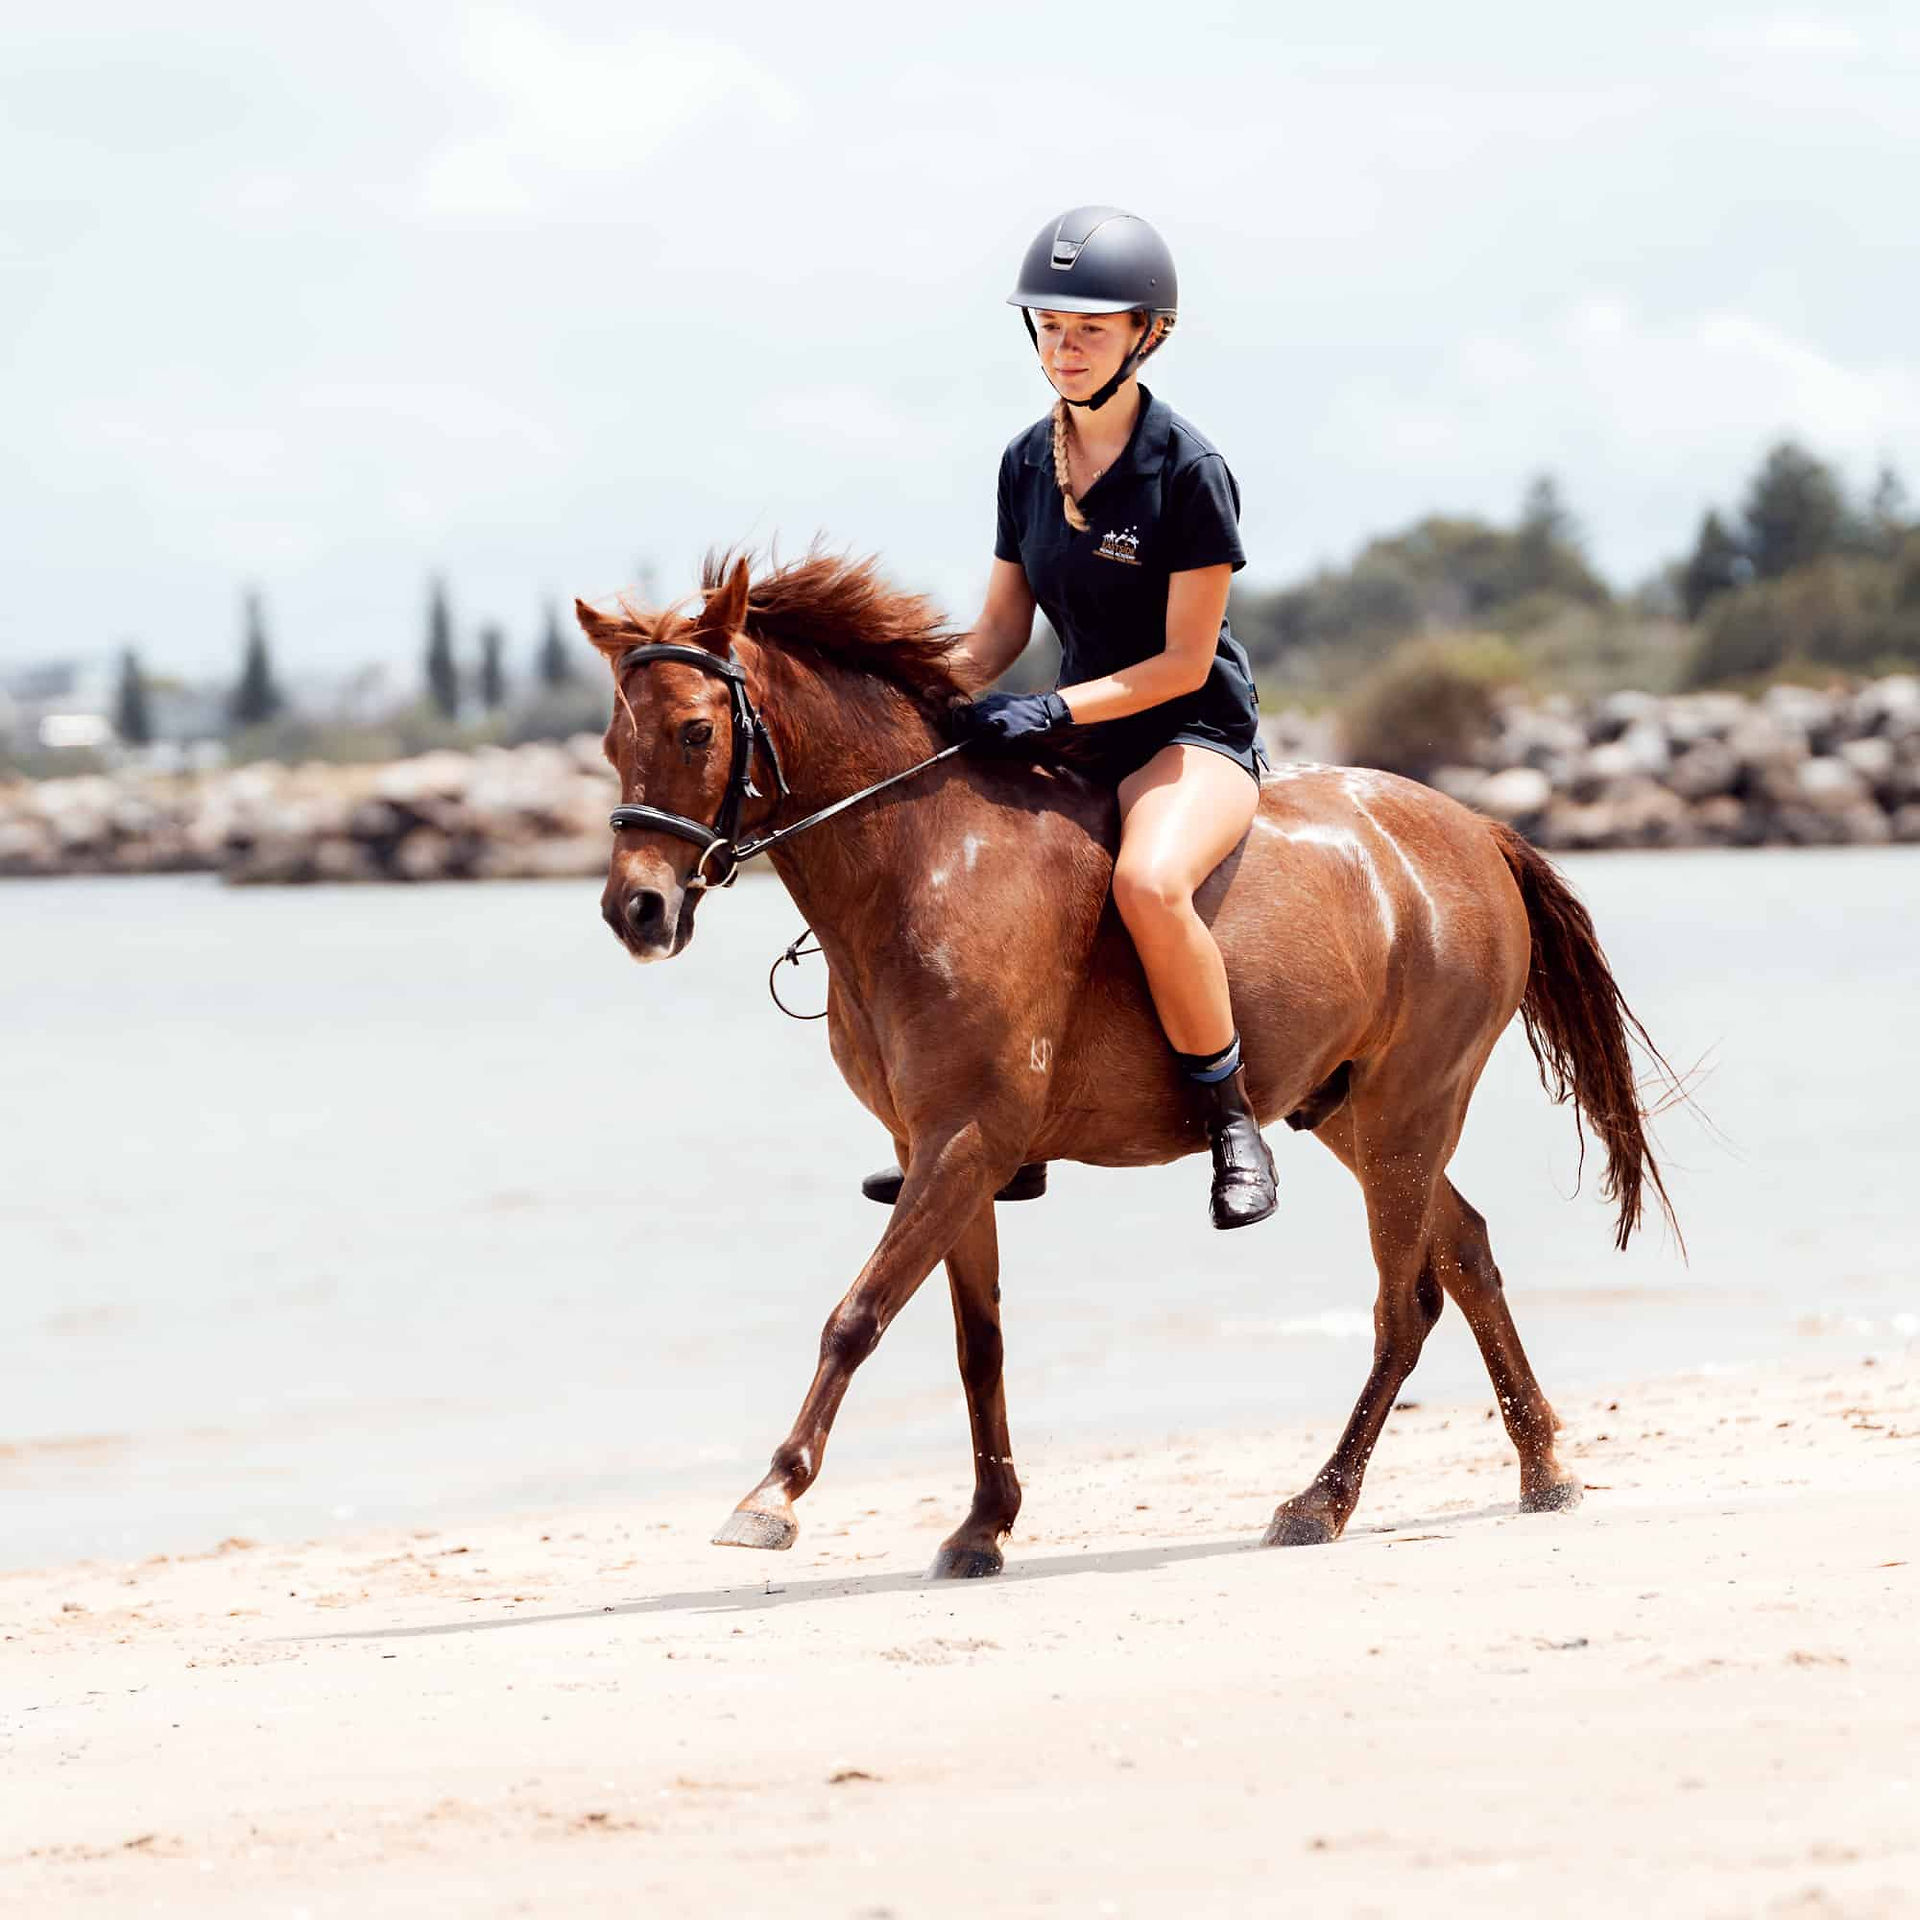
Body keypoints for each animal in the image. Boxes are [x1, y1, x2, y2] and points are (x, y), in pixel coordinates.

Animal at [579, 549, 1678, 1578]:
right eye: (609, 747)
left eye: (696, 733)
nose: (636, 913)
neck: (923, 863)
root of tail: (1477, 830)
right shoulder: (945, 1152)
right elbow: (978, 1346)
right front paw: (982, 1526)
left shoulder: (965, 1140)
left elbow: (858, 1314)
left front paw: (769, 1496)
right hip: (1354, 1115)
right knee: (1469, 1251)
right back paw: (1544, 1468)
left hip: (1411, 1105)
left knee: (1406, 1302)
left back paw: (1318, 1502)